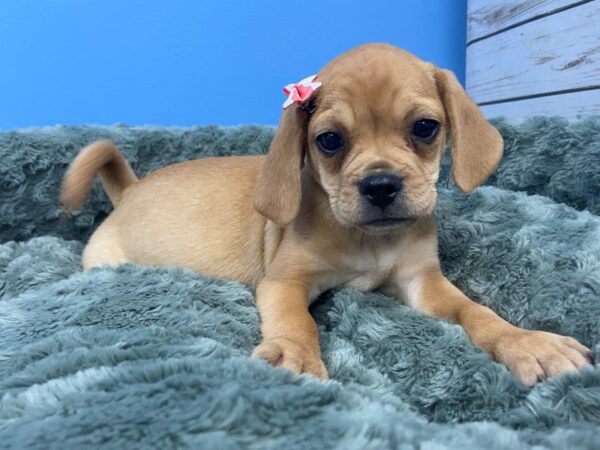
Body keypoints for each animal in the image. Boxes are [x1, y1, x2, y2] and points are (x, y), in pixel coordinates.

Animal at [59, 44, 592, 384]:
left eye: (425, 128)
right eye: (330, 140)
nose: (380, 185)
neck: (369, 241)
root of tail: (130, 190)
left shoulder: (423, 283)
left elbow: (476, 312)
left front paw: (528, 342)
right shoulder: (285, 282)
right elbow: (299, 321)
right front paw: (295, 357)